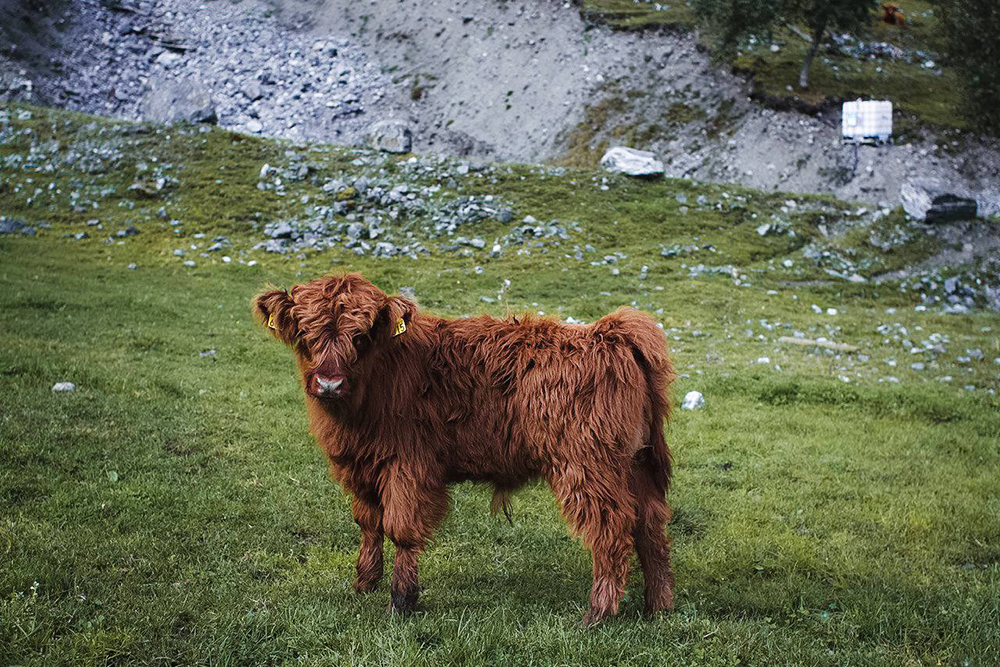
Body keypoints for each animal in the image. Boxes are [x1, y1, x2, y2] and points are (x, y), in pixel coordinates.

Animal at [254, 272, 676, 628]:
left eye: (361, 335)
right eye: (305, 333)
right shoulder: (360, 466)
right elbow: (370, 524)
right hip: (636, 462)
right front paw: (365, 583)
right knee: (650, 524)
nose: (329, 383)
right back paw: (659, 606)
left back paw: (597, 613)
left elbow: (400, 528)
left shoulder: (408, 465)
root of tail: (608, 333)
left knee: (612, 530)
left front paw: (401, 601)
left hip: (587, 464)